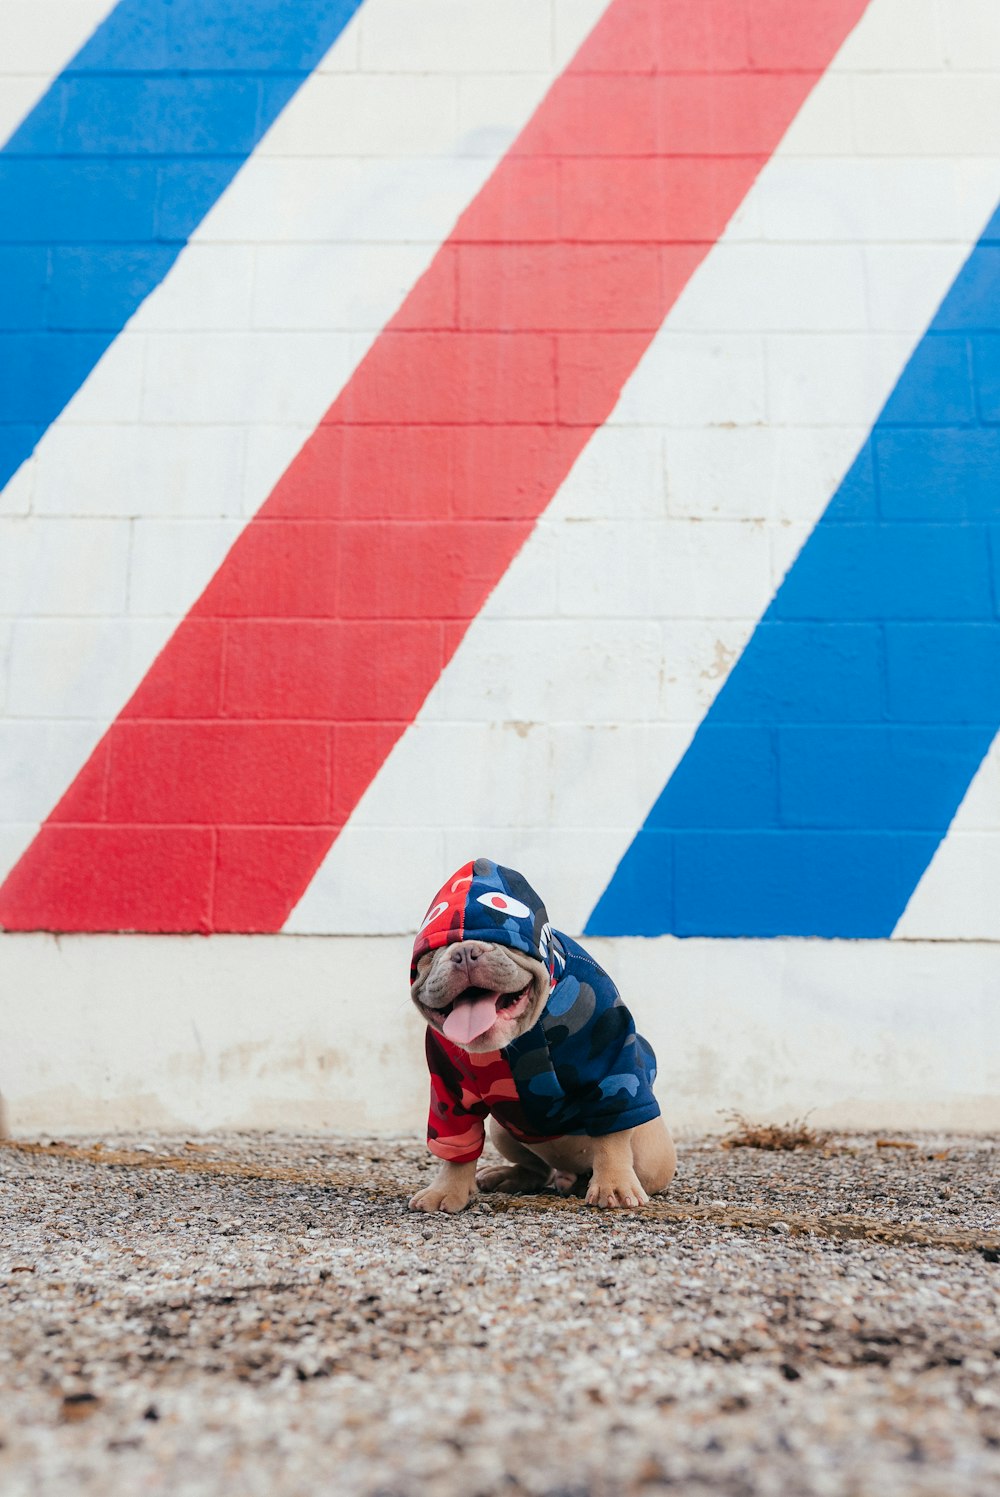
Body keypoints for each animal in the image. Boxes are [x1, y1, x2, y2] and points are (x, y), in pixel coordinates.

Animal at [407, 862, 679, 1209]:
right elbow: (458, 1145)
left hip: (651, 1153)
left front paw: (614, 1186)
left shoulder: (612, 1059)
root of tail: (569, 1170)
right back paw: (511, 1176)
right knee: (539, 1169)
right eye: (432, 953)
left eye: (509, 945)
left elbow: (612, 1132)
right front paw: (446, 1190)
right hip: (503, 1130)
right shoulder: (450, 1088)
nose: (465, 952)